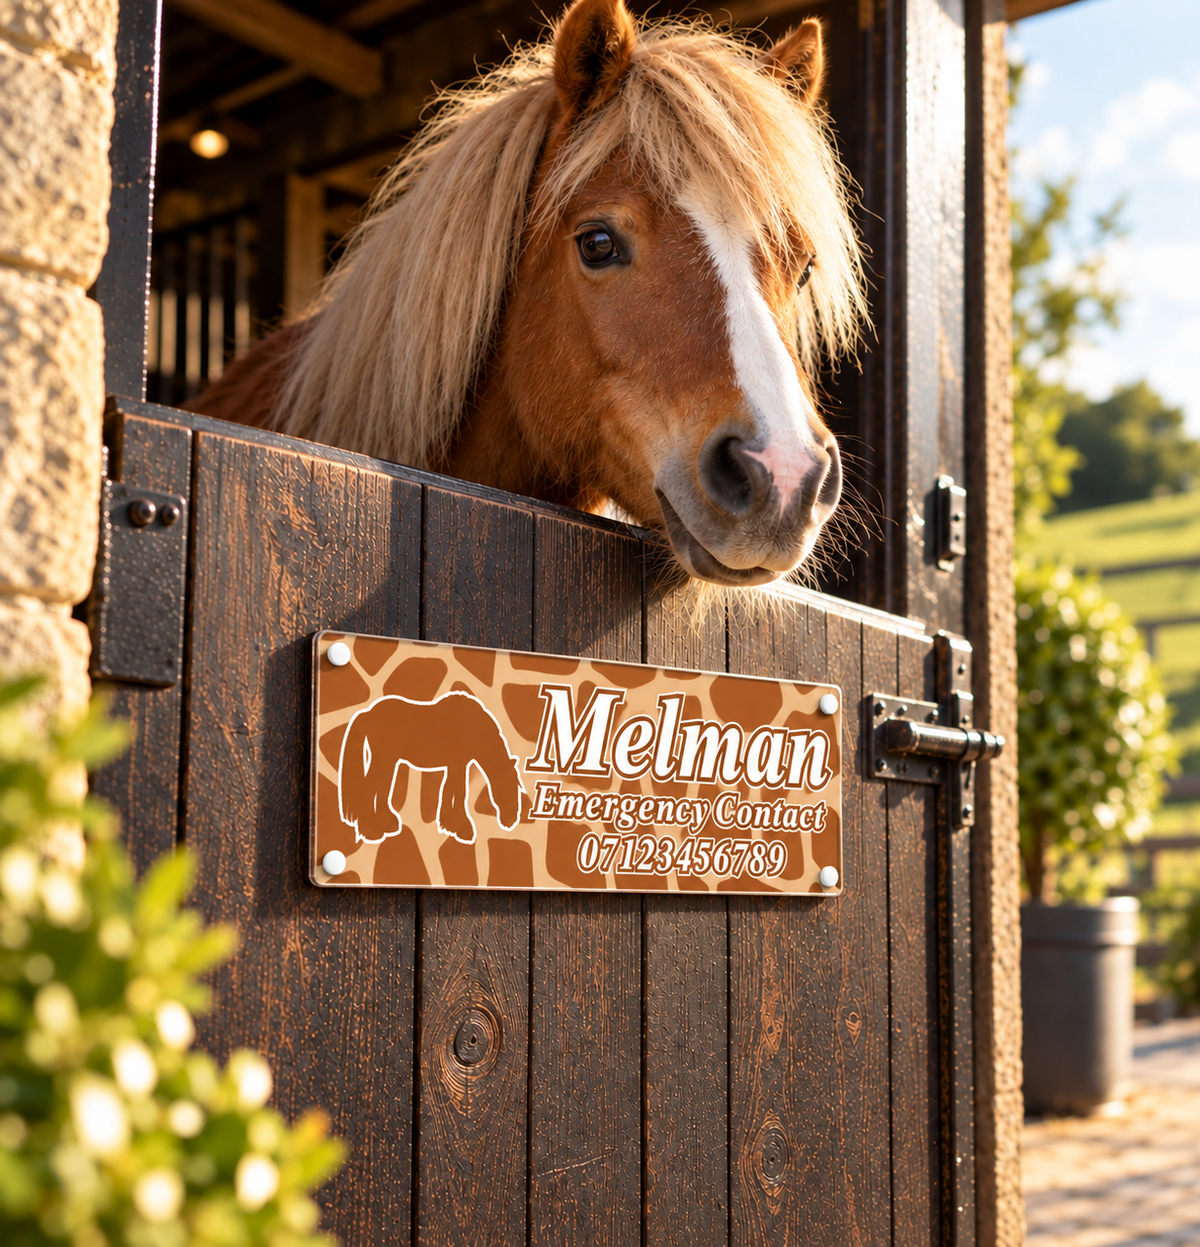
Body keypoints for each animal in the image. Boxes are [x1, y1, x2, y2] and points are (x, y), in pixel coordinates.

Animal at [338, 692, 526, 846]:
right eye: (509, 786)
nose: (510, 821)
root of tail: (368, 712)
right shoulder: (457, 764)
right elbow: (458, 792)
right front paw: (461, 829)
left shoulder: (457, 764)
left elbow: (453, 792)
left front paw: (450, 826)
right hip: (384, 760)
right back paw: (372, 832)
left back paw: (387, 824)